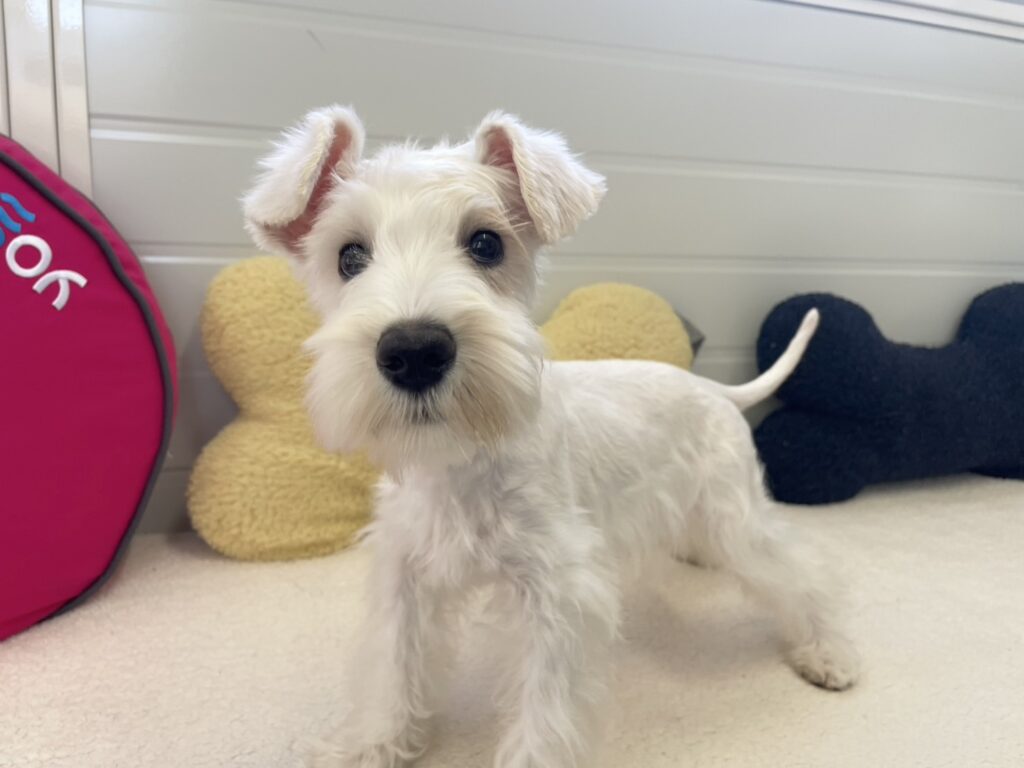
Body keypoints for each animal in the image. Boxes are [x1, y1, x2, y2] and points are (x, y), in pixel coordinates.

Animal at [243, 106, 859, 768]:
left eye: (486, 243)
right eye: (350, 256)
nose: (414, 351)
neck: (464, 458)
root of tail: (716, 390)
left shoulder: (559, 594)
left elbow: (546, 708)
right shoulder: (405, 575)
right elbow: (393, 666)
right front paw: (373, 743)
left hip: (736, 520)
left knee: (803, 569)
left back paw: (829, 652)